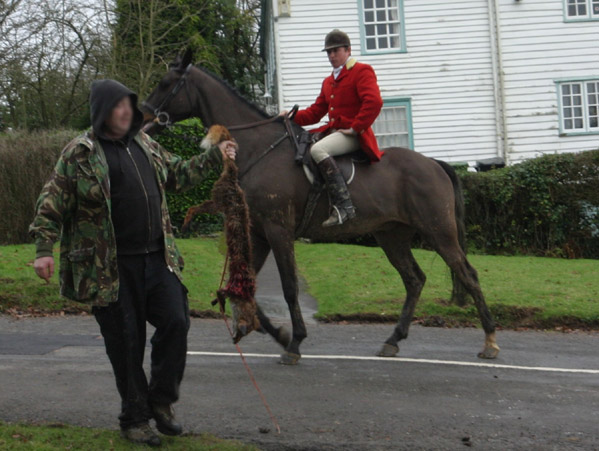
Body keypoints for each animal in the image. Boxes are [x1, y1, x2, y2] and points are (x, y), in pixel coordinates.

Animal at [142, 51, 502, 366]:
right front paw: (279, 334)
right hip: (392, 236)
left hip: (439, 231)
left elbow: (289, 288)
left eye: (164, 82)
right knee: (414, 280)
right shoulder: (258, 232)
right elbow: (240, 286)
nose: (144, 117)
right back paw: (393, 340)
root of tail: (433, 163)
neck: (259, 148)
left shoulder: (278, 230)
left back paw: (490, 341)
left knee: (468, 275)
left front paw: (295, 342)